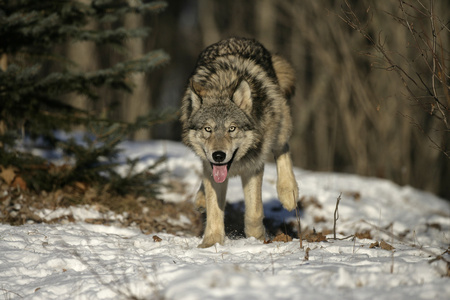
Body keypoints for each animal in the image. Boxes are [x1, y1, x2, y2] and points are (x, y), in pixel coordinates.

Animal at [179, 37, 298, 248]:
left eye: (232, 128)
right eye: (207, 129)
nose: (219, 155)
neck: (221, 84)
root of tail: (236, 38)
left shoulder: (254, 167)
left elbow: (254, 212)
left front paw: (257, 238)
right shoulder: (212, 170)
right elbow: (214, 210)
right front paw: (211, 242)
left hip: (281, 124)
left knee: (282, 148)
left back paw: (288, 191)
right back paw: (200, 199)